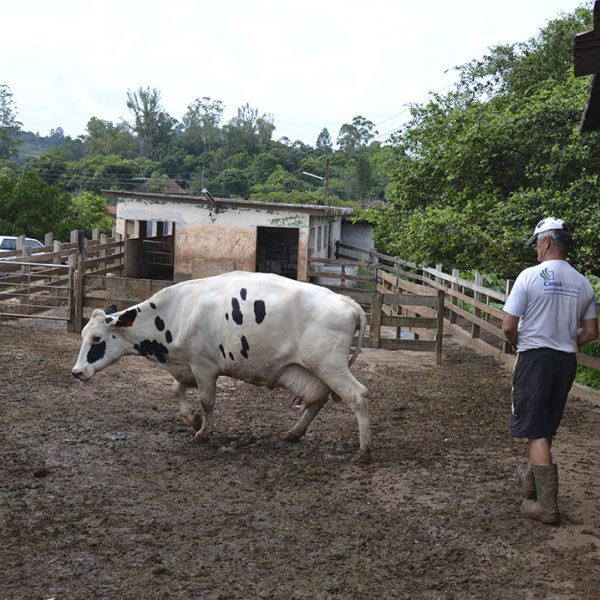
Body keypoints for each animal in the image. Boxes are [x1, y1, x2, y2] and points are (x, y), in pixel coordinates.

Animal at [72, 270, 372, 460]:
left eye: (97, 339)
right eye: (83, 334)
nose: (77, 372)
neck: (176, 311)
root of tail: (347, 301)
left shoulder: (204, 367)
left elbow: (207, 401)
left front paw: (203, 432)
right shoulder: (185, 365)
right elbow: (176, 391)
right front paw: (192, 419)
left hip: (330, 366)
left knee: (357, 395)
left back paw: (364, 451)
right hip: (311, 370)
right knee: (318, 399)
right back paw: (293, 433)